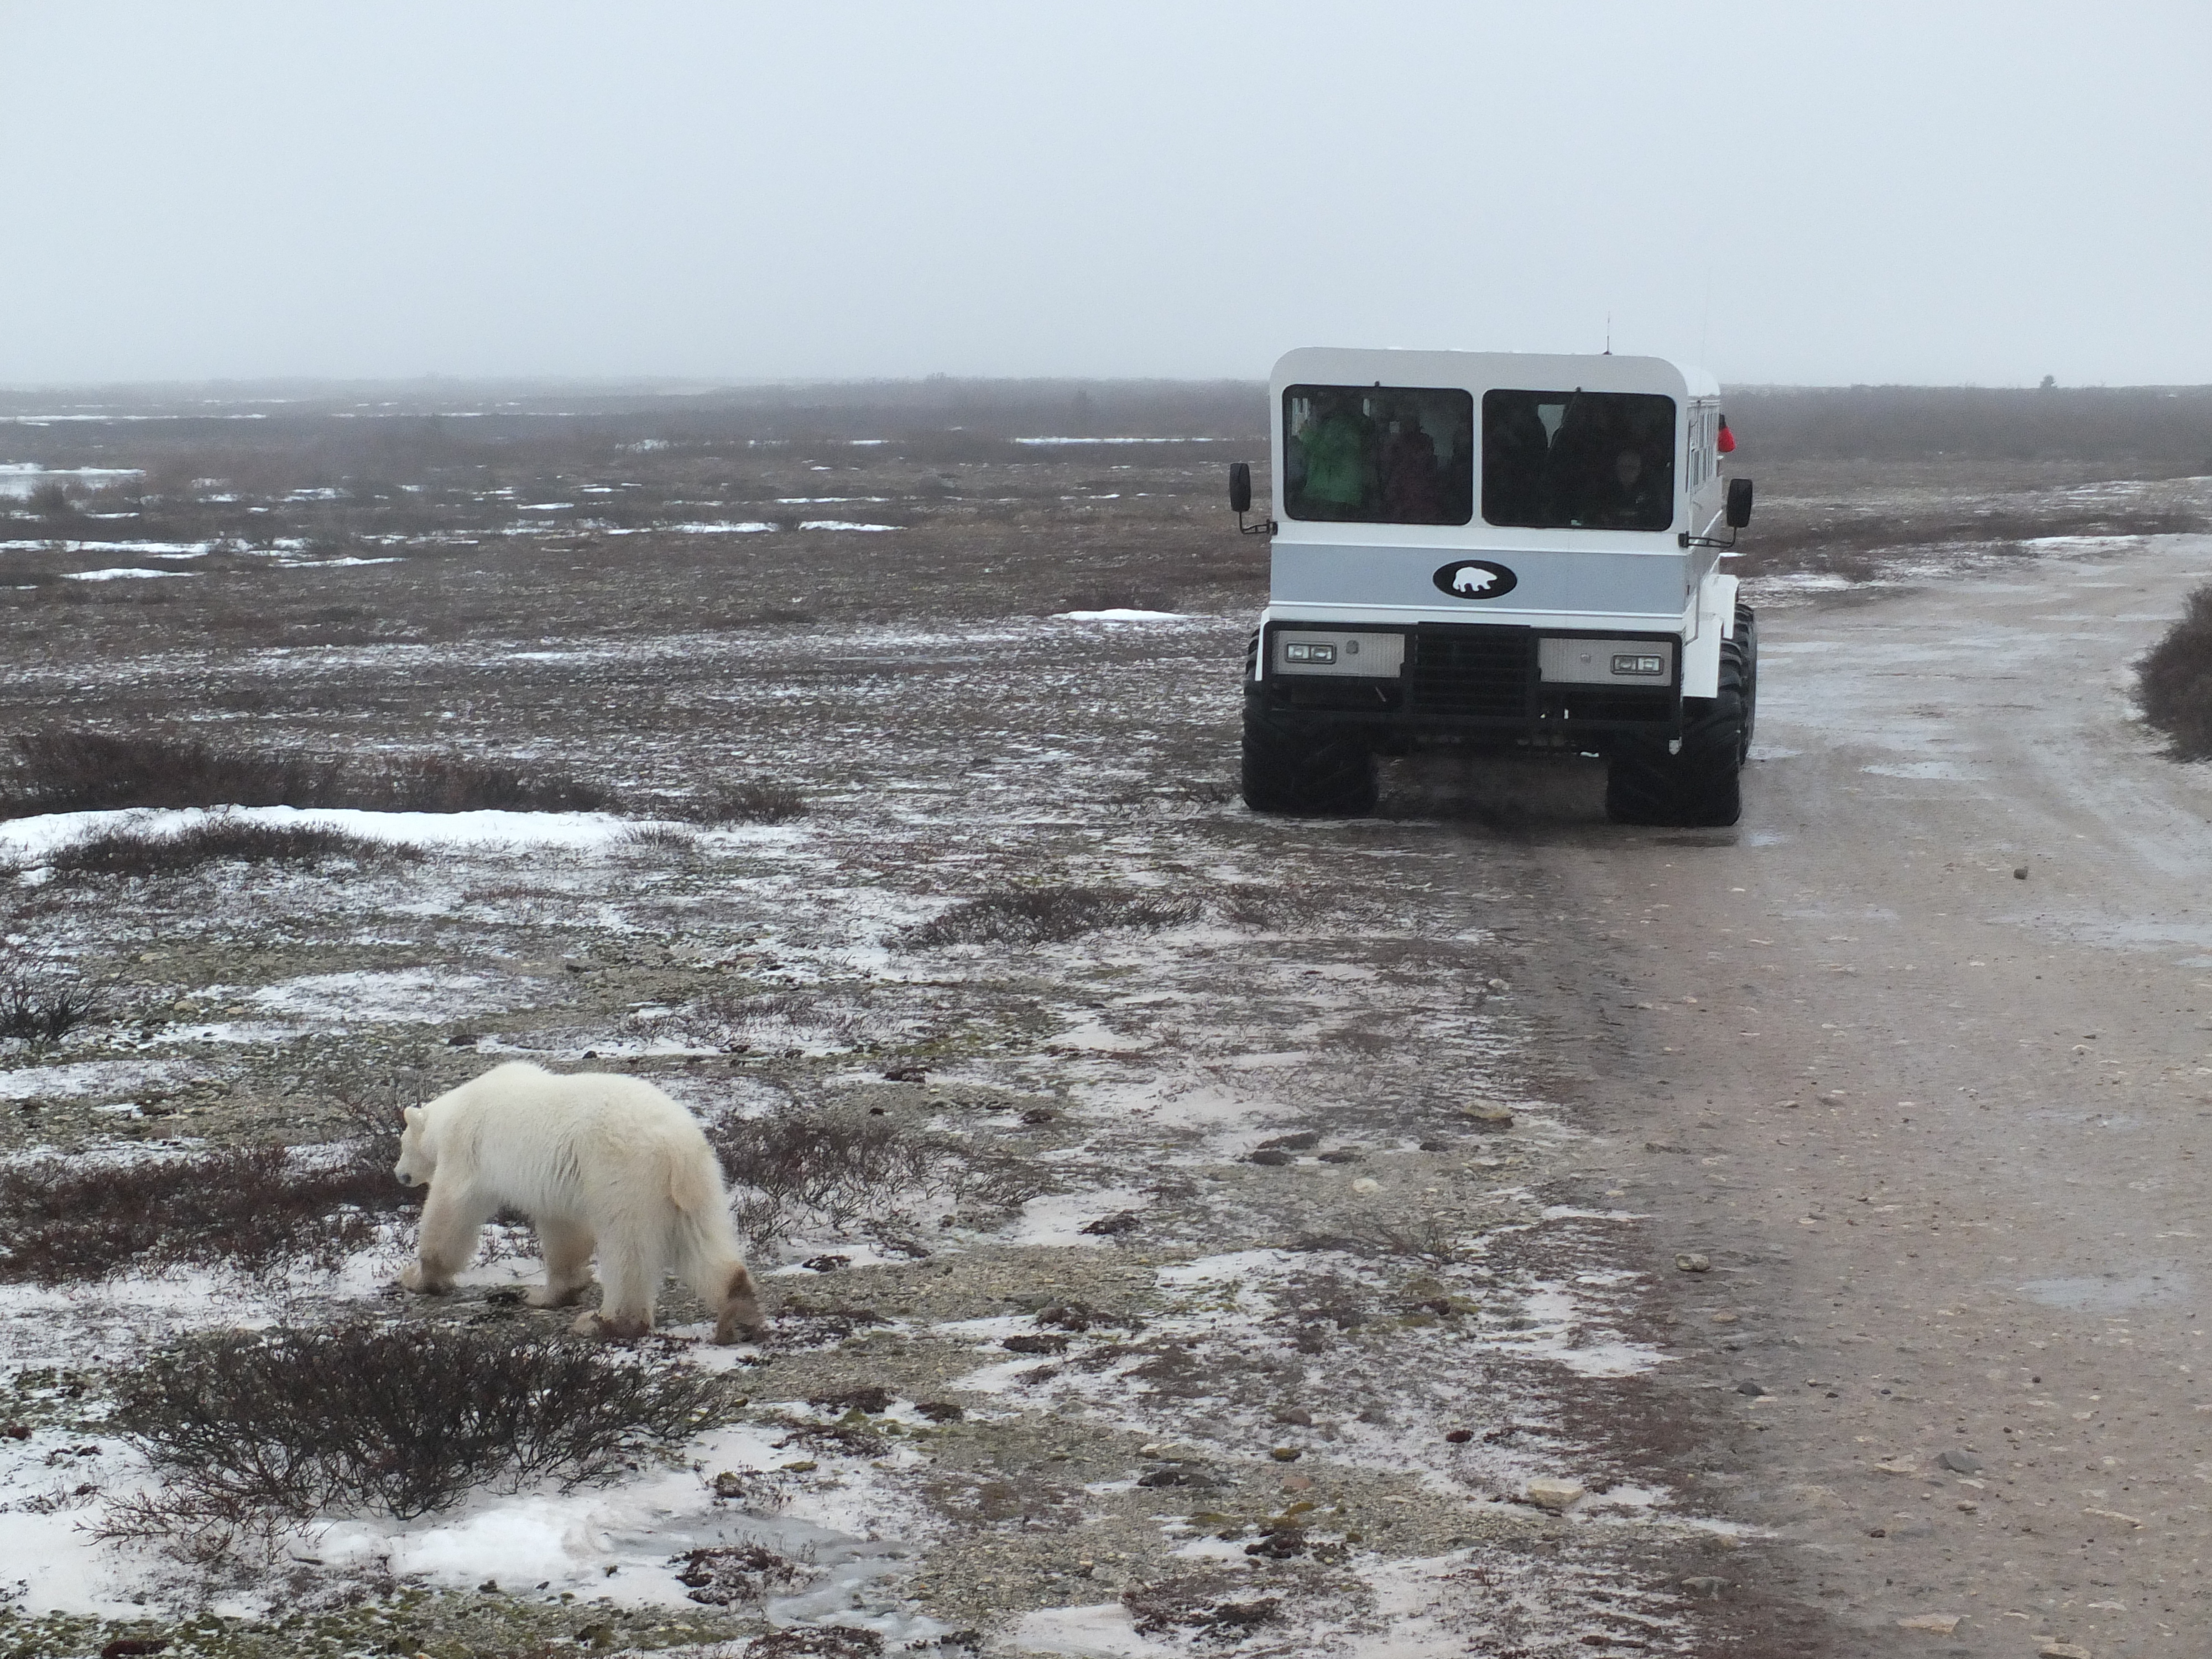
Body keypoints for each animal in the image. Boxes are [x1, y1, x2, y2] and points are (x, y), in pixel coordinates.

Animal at [393, 1060, 763, 1343]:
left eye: (401, 1143)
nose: (399, 1175)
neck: (455, 1111)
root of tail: (675, 1143)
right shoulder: (557, 1182)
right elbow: (564, 1230)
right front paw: (548, 1295)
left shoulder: (466, 1150)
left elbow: (451, 1208)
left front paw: (418, 1277)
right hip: (696, 1184)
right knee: (701, 1239)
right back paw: (739, 1313)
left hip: (624, 1176)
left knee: (627, 1249)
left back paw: (604, 1322)